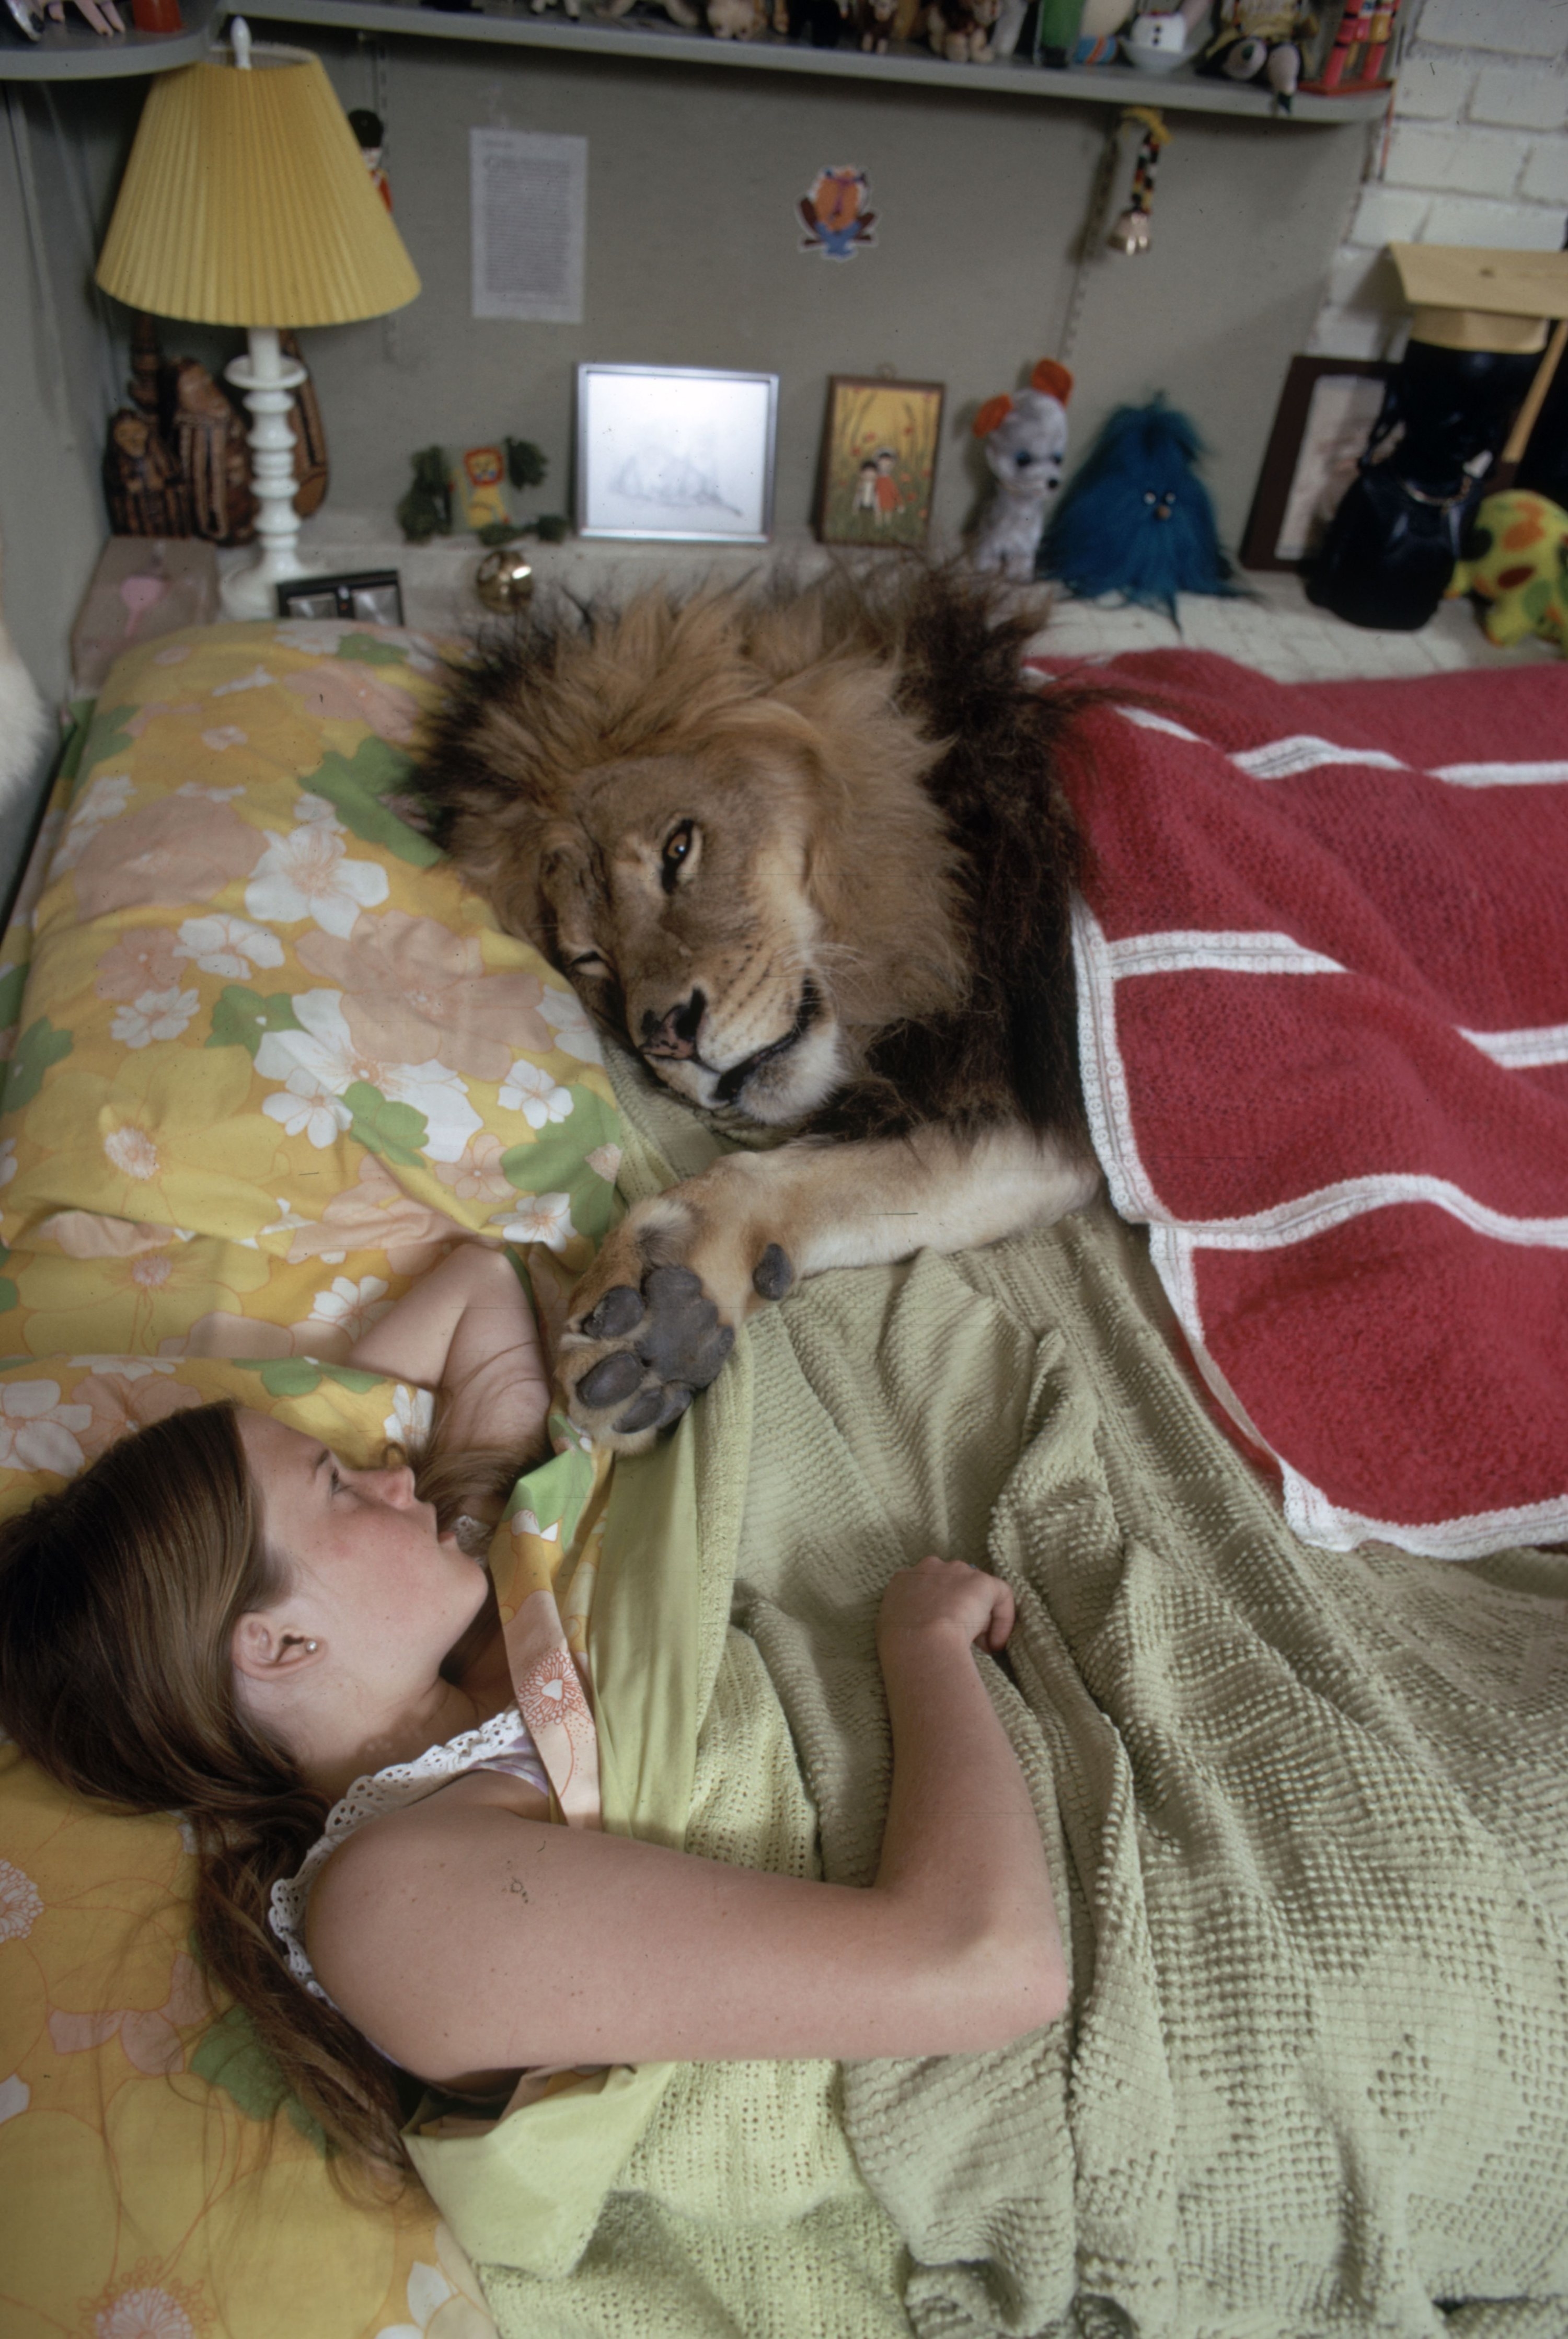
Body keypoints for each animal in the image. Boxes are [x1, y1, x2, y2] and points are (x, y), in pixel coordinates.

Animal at [421, 566, 1104, 1441]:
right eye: (589, 958)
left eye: (678, 850)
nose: (667, 1038)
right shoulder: (1044, 1110)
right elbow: (841, 1179)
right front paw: (663, 1316)